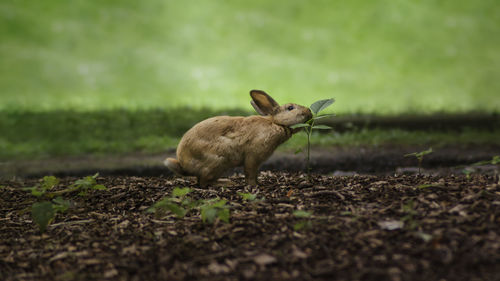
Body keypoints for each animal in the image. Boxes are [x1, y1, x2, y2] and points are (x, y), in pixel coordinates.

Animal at [166, 89, 310, 186]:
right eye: (290, 108)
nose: (309, 112)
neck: (275, 123)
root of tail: (183, 164)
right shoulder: (253, 156)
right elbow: (250, 172)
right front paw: (254, 186)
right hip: (218, 161)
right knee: (203, 182)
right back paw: (226, 184)